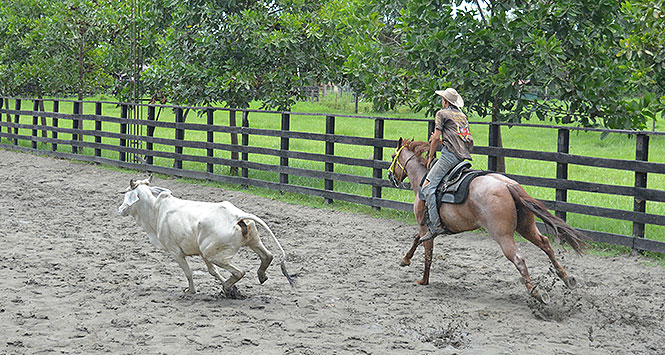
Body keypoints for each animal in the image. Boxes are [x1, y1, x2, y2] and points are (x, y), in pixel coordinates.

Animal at [118, 178, 294, 298]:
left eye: (127, 193)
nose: (120, 209)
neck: (156, 211)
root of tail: (237, 216)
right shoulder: (202, 254)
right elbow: (212, 271)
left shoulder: (176, 252)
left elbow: (189, 272)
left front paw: (191, 290)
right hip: (251, 240)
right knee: (267, 256)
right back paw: (259, 276)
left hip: (215, 254)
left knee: (240, 272)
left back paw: (228, 286)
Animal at [384, 138, 588, 304]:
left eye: (393, 155)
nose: (390, 176)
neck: (424, 179)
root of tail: (508, 185)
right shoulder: (428, 230)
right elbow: (419, 242)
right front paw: (407, 262)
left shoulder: (424, 226)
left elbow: (425, 249)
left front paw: (420, 277)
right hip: (526, 227)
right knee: (545, 244)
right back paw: (566, 277)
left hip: (502, 235)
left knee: (519, 259)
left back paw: (537, 293)